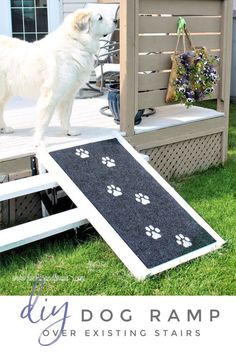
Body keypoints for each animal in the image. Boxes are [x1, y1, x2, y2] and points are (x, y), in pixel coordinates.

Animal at [0, 9, 117, 145]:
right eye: (100, 18)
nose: (116, 20)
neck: (76, 42)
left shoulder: (68, 95)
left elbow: (66, 116)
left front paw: (70, 132)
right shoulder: (51, 95)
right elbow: (44, 121)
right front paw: (39, 141)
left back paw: (5, 128)